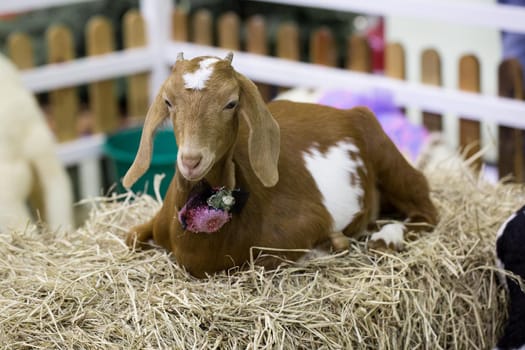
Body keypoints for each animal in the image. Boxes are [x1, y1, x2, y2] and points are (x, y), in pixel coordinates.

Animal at [124, 53, 438, 278]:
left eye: (231, 103)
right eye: (168, 101)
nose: (191, 161)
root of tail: (350, 111)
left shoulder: (303, 226)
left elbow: (269, 259)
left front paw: (327, 247)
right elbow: (130, 237)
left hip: (389, 158)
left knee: (426, 208)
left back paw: (386, 237)